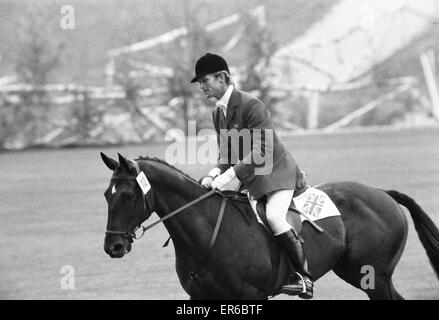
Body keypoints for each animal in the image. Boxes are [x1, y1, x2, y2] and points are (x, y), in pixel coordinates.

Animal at [100, 152, 439, 300]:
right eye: (106, 195)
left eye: (127, 195)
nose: (113, 246)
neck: (207, 234)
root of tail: (383, 193)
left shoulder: (252, 296)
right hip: (358, 273)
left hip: (375, 277)